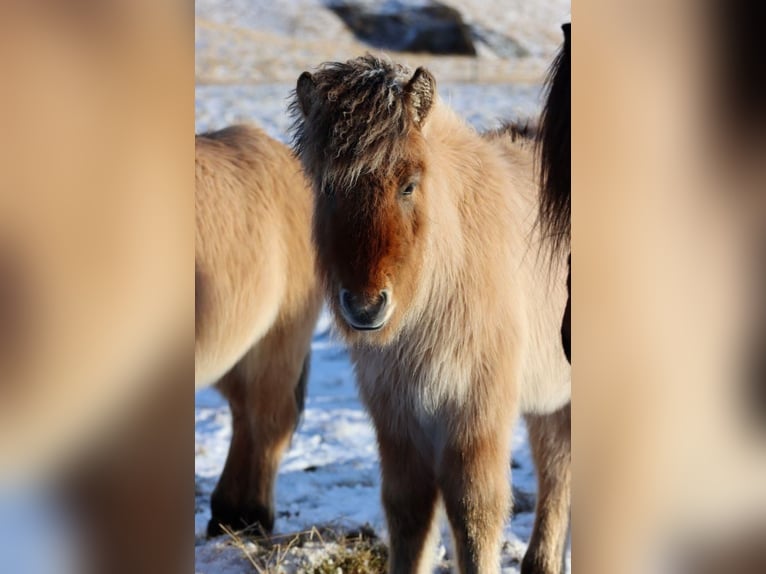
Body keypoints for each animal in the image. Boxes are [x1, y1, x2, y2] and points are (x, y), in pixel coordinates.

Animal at [290, 55, 571, 574]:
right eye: (328, 187)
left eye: (408, 185)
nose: (365, 306)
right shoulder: (398, 421)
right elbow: (408, 513)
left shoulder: (475, 416)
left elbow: (474, 515)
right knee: (557, 471)